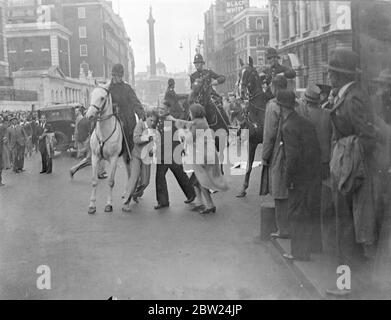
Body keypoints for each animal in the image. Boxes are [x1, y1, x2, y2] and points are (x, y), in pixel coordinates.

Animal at [86, 84, 122, 214]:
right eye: (91, 95)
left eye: (102, 98)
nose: (89, 116)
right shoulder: (95, 157)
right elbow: (94, 181)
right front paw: (92, 205)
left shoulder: (114, 158)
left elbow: (111, 182)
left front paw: (109, 204)